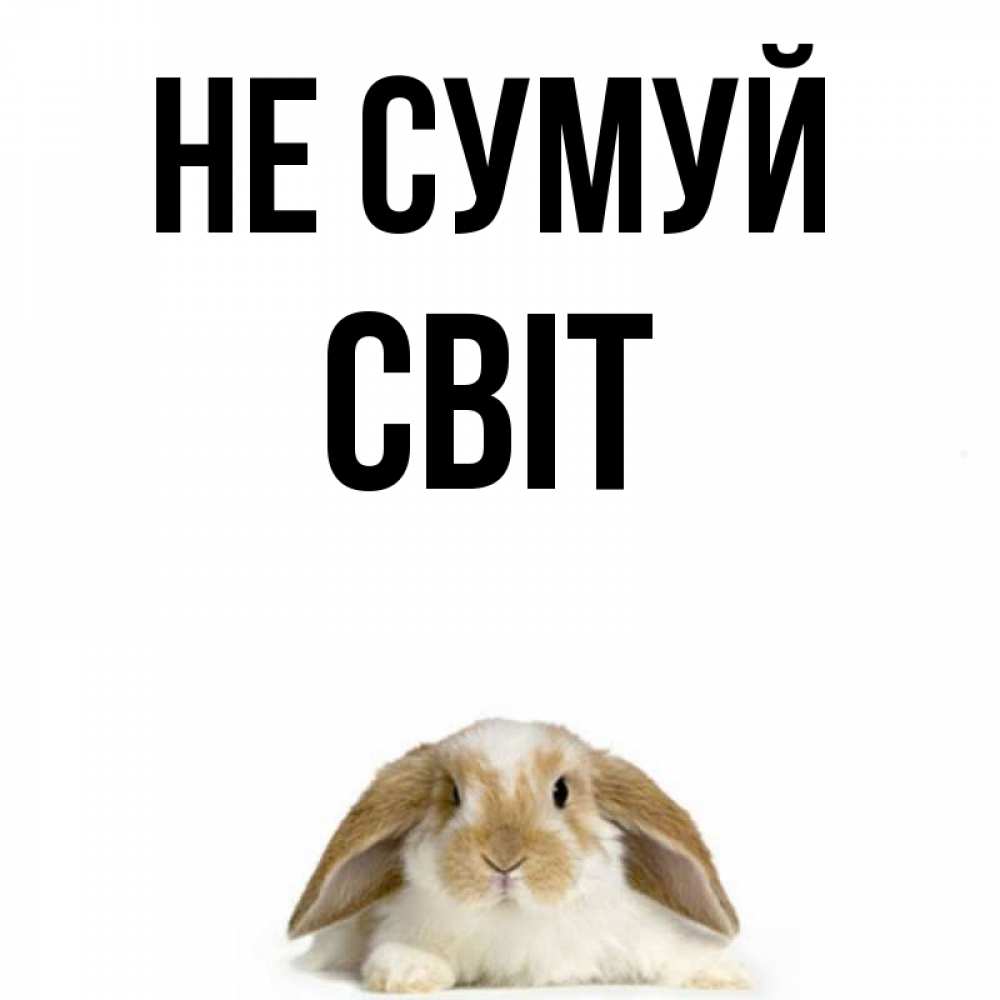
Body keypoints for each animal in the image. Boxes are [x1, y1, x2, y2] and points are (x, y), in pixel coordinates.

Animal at [288, 719, 750, 991]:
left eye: (561, 791)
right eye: (453, 795)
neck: (514, 919)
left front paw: (725, 973)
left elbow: (674, 950)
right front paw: (409, 973)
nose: (504, 859)